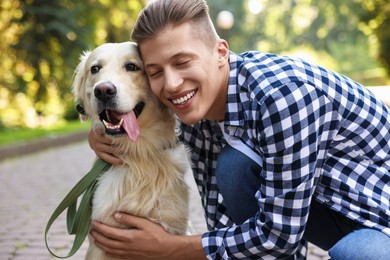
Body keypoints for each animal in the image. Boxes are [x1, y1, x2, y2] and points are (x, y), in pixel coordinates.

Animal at [72, 41, 192, 258]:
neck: (140, 153)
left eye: (131, 66)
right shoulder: (100, 238)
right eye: (95, 69)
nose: (103, 90)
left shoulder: (174, 228)